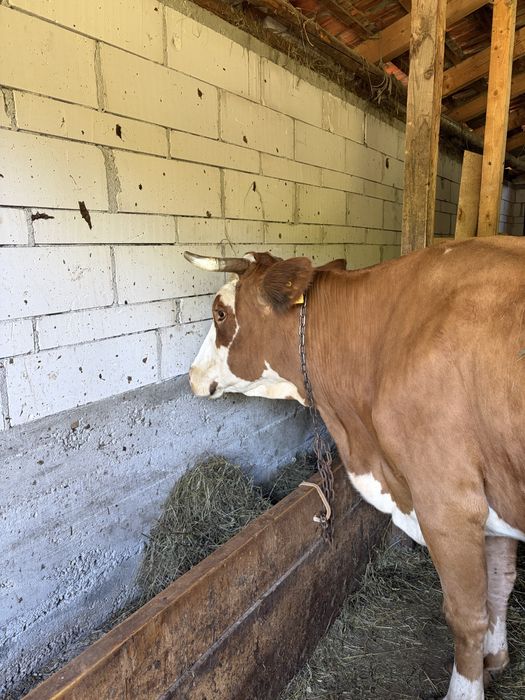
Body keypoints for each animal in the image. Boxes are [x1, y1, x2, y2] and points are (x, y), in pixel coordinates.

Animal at [184, 236, 525, 700]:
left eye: (219, 312)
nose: (191, 375)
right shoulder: (493, 496)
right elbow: (500, 583)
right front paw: (496, 661)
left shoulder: (448, 503)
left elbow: (466, 615)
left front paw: (465, 688)